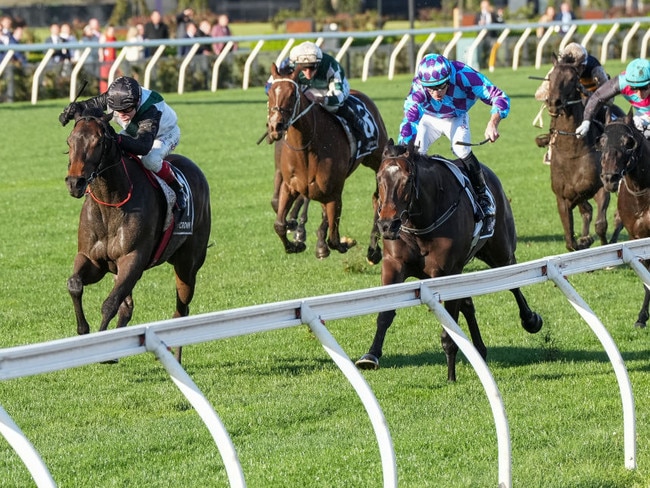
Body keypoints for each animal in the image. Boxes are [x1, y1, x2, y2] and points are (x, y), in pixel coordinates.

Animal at [64, 110, 210, 362]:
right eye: (69, 142)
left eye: (98, 142)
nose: (75, 183)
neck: (110, 203)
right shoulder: (92, 260)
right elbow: (75, 284)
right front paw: (84, 330)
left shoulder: (133, 258)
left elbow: (109, 303)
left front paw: (104, 348)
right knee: (128, 306)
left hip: (187, 264)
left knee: (182, 310)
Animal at [266, 62, 388, 262]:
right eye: (270, 93)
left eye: (292, 94)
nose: (275, 126)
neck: (307, 147)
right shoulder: (290, 186)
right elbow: (279, 224)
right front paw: (296, 244)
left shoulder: (333, 192)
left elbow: (334, 238)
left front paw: (344, 243)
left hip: (377, 157)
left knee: (378, 197)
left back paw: (373, 249)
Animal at [354, 140, 540, 382]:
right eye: (379, 178)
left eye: (407, 180)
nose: (386, 224)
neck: (420, 223)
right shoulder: (394, 265)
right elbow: (385, 314)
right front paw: (371, 356)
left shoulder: (446, 272)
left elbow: (450, 327)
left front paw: (451, 374)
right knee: (468, 304)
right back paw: (480, 350)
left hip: (500, 252)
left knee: (514, 285)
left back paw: (530, 320)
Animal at [540, 53, 616, 252]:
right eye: (551, 77)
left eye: (572, 78)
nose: (554, 103)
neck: (572, 152)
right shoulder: (562, 197)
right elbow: (570, 241)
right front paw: (584, 240)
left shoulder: (601, 188)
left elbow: (601, 225)